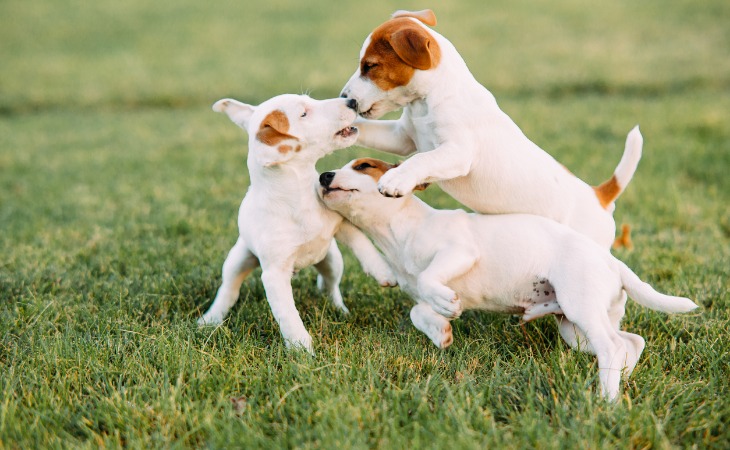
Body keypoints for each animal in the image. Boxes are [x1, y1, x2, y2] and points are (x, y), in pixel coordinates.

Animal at [196, 96, 396, 356]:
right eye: (303, 113)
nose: (351, 100)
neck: (298, 195)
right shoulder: (274, 274)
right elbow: (288, 314)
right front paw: (302, 350)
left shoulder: (340, 223)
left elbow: (362, 243)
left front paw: (383, 271)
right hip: (238, 260)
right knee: (229, 289)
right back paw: (210, 319)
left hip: (332, 260)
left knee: (330, 286)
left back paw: (339, 310)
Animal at [318, 158, 692, 400]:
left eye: (364, 166)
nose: (323, 175)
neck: (399, 231)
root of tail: (613, 262)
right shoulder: (419, 293)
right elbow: (418, 310)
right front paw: (440, 331)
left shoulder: (460, 251)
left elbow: (429, 278)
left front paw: (445, 308)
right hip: (574, 327)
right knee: (629, 343)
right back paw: (619, 382)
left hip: (581, 307)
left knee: (614, 346)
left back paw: (606, 400)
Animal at [338, 8, 640, 250]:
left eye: (370, 66)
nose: (345, 98)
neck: (429, 99)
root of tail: (598, 195)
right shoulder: (402, 138)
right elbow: (369, 130)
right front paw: (339, 124)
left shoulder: (458, 152)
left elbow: (423, 159)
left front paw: (397, 180)